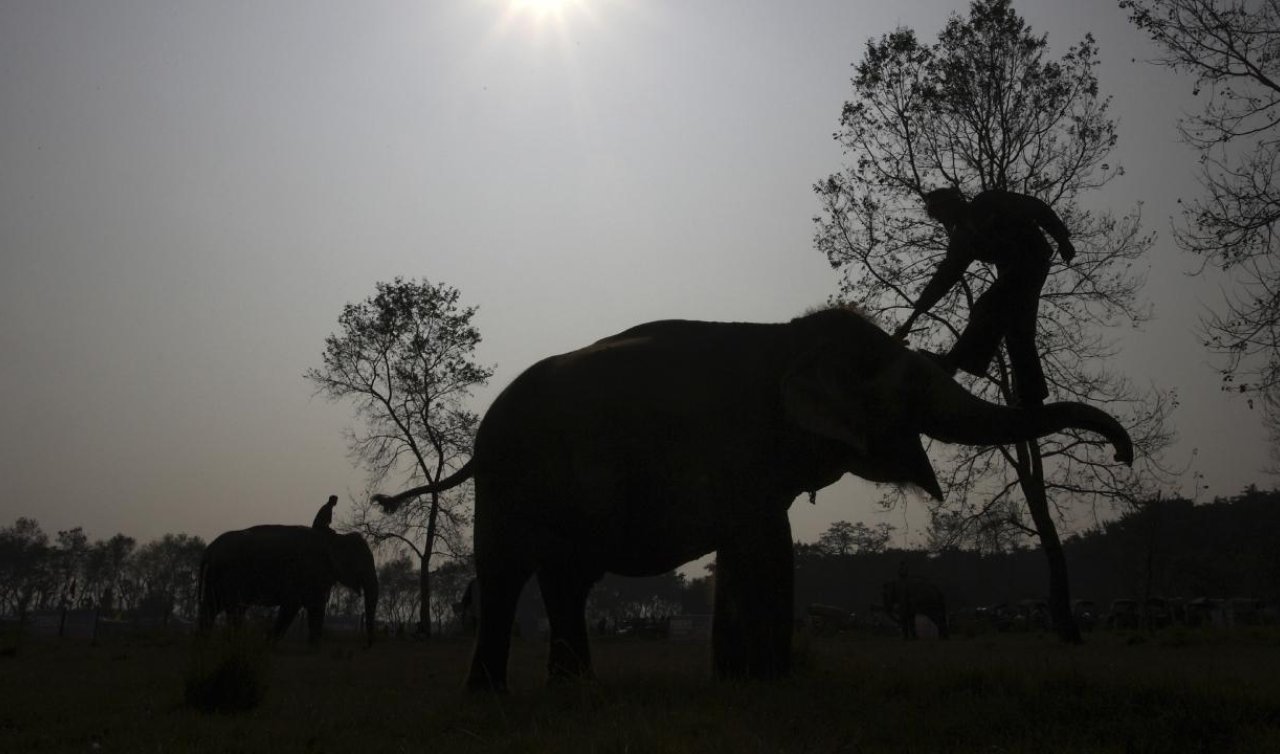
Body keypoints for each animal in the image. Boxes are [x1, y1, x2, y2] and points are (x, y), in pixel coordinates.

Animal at [192, 527, 376, 645]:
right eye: (362, 563)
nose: (366, 645)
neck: (336, 538)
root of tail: (208, 552)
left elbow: (313, 608)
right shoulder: (309, 573)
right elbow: (299, 606)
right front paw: (268, 643)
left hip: (215, 578)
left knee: (211, 608)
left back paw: (203, 644)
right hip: (230, 575)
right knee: (234, 609)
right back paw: (233, 642)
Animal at [373, 304, 1131, 686]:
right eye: (909, 385)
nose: (1122, 453)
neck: (788, 340)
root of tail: (476, 443)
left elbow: (748, 548)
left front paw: (739, 680)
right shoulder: (739, 451)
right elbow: (766, 545)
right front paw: (769, 682)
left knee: (566, 581)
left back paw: (575, 688)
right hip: (509, 482)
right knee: (506, 575)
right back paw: (490, 694)